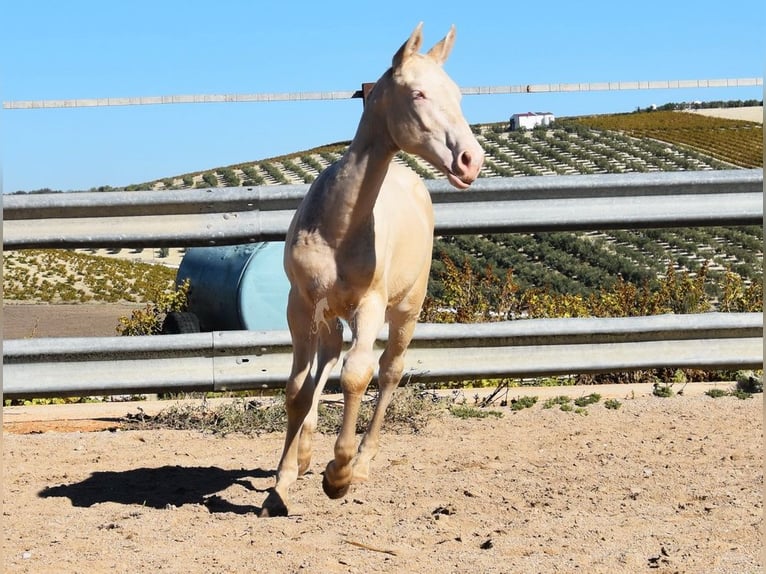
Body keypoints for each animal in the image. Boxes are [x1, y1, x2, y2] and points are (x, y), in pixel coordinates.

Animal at [260, 22, 484, 520]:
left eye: (459, 95)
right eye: (418, 92)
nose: (471, 160)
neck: (338, 228)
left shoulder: (370, 305)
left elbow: (357, 375)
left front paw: (338, 475)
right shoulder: (300, 305)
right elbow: (297, 389)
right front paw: (281, 482)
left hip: (406, 308)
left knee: (389, 370)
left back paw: (360, 463)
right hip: (327, 315)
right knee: (324, 363)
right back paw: (306, 454)